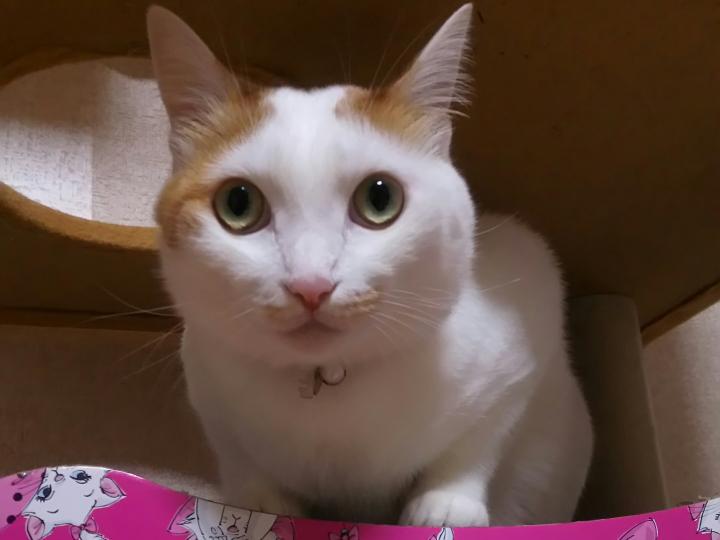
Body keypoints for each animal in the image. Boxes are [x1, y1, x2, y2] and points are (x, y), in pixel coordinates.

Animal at [147, 2, 593, 527]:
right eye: (238, 204)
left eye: (380, 198)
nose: (311, 285)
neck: (329, 389)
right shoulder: (206, 385)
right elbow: (238, 455)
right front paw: (257, 505)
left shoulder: (527, 314)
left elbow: (477, 441)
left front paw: (446, 503)